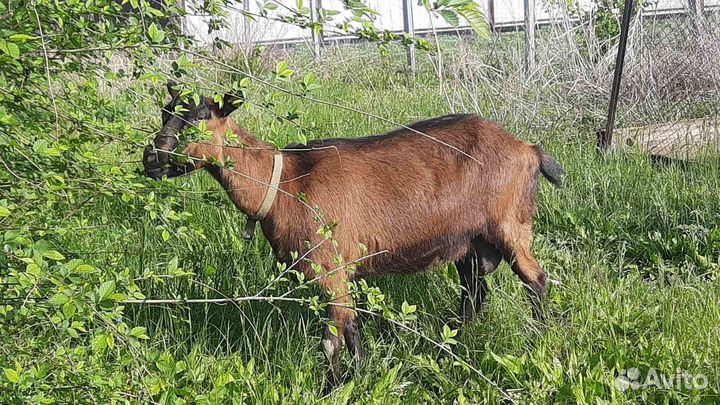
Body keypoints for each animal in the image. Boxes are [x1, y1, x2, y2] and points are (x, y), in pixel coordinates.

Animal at [142, 82, 564, 387]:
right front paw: (360, 374)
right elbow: (351, 326)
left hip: (510, 225)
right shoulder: (338, 272)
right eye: (165, 112)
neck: (285, 184)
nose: (151, 159)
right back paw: (451, 348)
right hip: (468, 244)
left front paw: (332, 387)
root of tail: (528, 149)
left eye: (200, 116)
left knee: (536, 279)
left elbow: (332, 339)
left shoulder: (329, 266)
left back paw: (539, 339)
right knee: (475, 294)